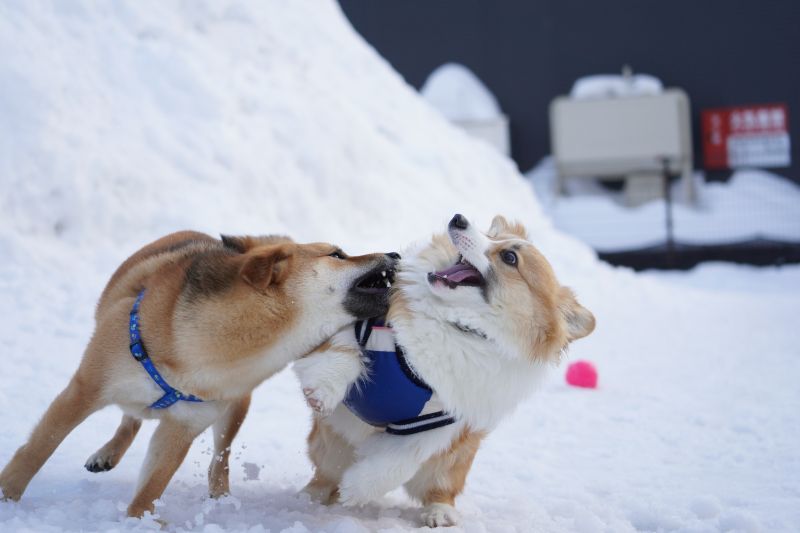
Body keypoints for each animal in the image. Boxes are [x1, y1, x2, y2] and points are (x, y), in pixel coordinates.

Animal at [0, 231, 398, 516]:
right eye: (337, 254)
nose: (395, 255)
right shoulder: (85, 389)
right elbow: (38, 449)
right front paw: (8, 497)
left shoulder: (184, 425)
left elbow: (152, 486)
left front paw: (139, 521)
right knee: (131, 417)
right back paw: (109, 451)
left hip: (234, 409)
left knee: (219, 454)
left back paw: (218, 494)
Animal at [294, 214, 592, 524]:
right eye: (490, 235)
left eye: (510, 257)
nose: (458, 218)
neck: (455, 324)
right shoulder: (356, 327)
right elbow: (344, 353)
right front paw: (322, 391)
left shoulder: (438, 422)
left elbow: (397, 461)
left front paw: (358, 488)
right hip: (329, 448)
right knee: (324, 475)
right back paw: (309, 497)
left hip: (452, 464)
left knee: (440, 489)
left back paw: (439, 513)